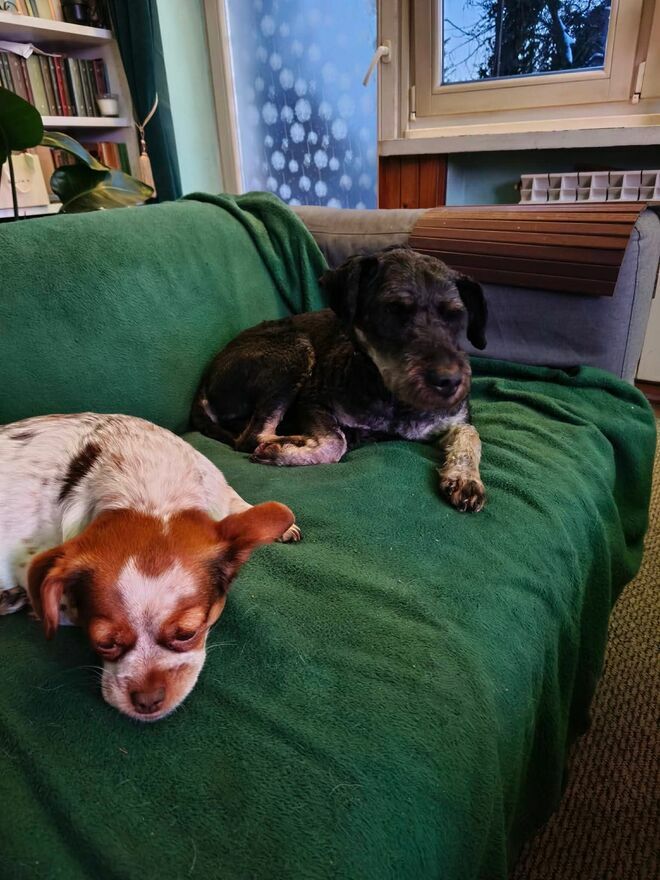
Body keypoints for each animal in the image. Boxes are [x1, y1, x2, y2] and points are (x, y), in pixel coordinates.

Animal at [0, 413, 299, 721]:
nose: (146, 702)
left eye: (187, 634)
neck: (149, 492)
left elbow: (243, 505)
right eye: (104, 643)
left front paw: (280, 523)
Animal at [192, 246, 488, 513]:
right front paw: (284, 452)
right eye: (392, 310)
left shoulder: (456, 418)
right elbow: (336, 442)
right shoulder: (314, 402)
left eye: (455, 314)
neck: (393, 397)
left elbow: (471, 434)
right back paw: (288, 441)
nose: (450, 382)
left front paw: (465, 478)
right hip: (293, 352)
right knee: (253, 435)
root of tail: (206, 382)